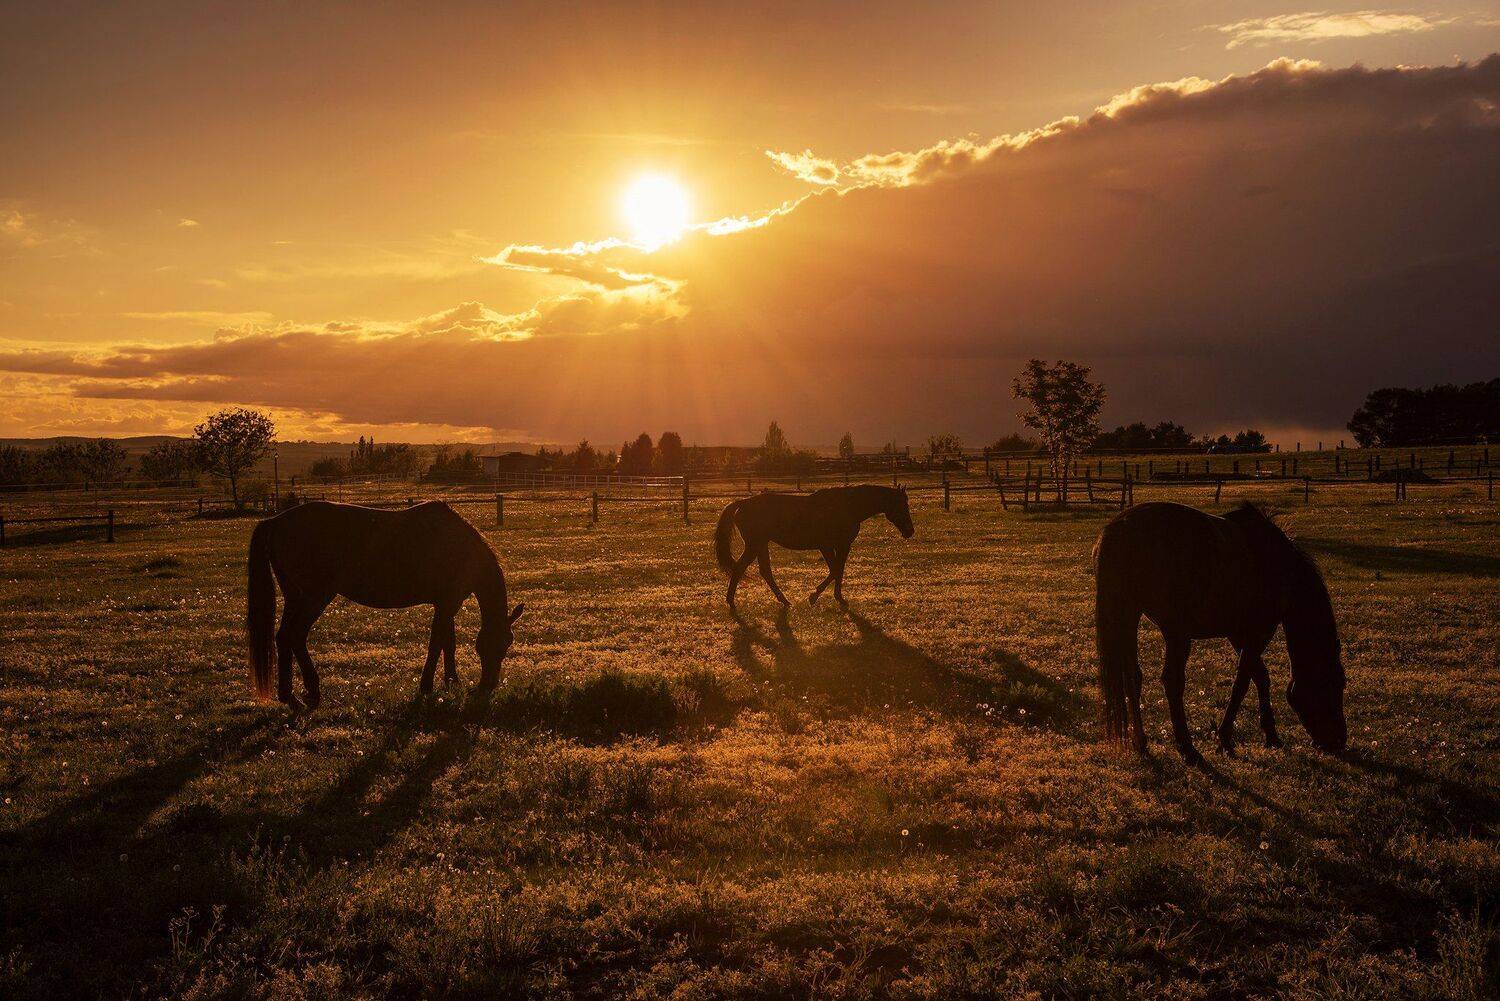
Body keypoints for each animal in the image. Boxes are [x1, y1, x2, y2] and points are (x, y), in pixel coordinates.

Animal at [245, 501, 524, 710]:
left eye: (507, 645)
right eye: (487, 646)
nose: (487, 686)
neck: (461, 549)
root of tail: (275, 522)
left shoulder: (446, 604)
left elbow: (448, 642)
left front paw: (451, 682)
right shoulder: (447, 604)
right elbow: (438, 642)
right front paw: (427, 686)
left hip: (296, 598)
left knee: (284, 637)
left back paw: (292, 696)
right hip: (314, 597)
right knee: (294, 635)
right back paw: (307, 694)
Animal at [714, 485, 914, 608]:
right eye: (903, 505)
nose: (910, 531)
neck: (847, 506)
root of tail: (743, 503)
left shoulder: (842, 546)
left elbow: (839, 570)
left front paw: (838, 597)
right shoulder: (827, 546)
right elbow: (835, 570)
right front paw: (814, 595)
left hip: (761, 545)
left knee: (765, 572)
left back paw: (784, 601)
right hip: (754, 545)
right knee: (740, 568)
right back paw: (731, 601)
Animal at [1093, 501, 1346, 763]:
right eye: (1336, 683)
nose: (1339, 741)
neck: (1282, 567)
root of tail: (1121, 528)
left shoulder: (1238, 634)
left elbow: (1260, 677)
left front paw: (1271, 735)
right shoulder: (1258, 633)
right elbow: (1242, 683)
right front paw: (1224, 739)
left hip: (1130, 615)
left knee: (1133, 676)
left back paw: (1142, 743)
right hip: (1176, 633)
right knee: (1172, 681)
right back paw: (1187, 748)